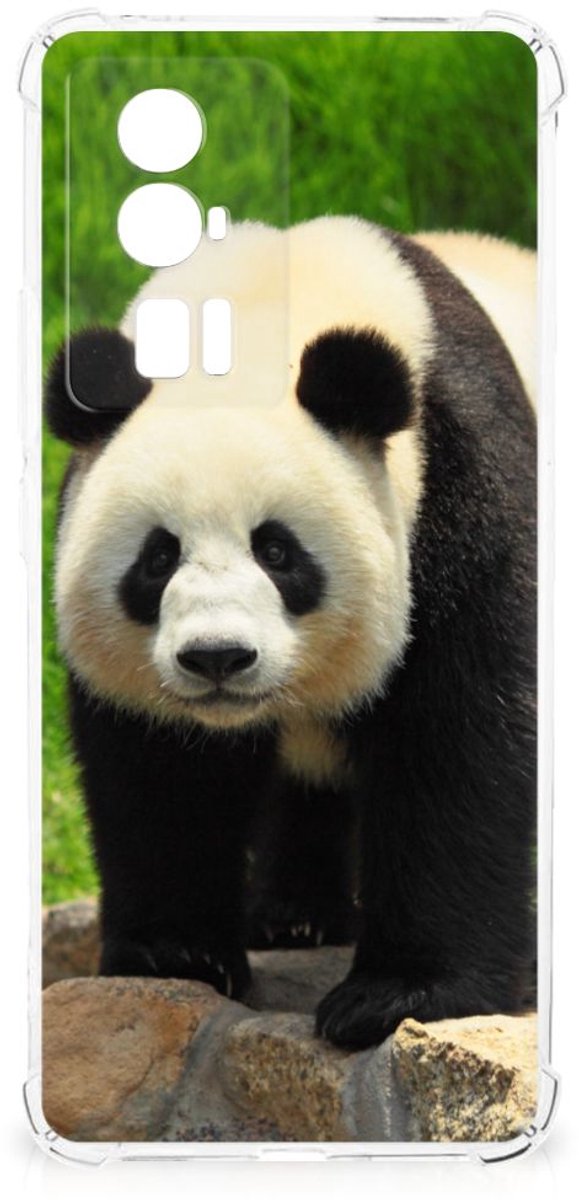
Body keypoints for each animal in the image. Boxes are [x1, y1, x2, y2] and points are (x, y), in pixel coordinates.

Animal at [46, 217, 536, 1050]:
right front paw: (176, 955)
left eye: (276, 551)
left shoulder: (462, 486)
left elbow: (460, 738)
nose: (216, 657)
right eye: (157, 557)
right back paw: (295, 917)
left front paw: (396, 994)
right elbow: (158, 768)